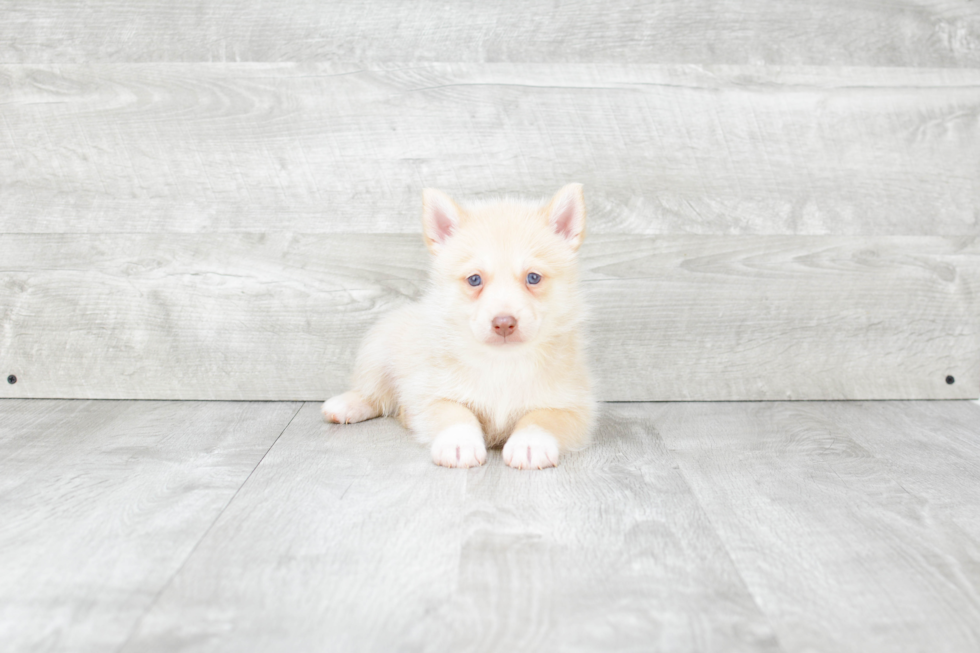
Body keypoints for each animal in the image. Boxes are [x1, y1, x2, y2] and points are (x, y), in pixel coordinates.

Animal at [326, 183, 592, 468]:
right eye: (474, 279)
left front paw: (530, 443)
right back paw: (346, 405)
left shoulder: (575, 406)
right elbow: (456, 413)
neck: (502, 361)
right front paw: (459, 443)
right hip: (378, 352)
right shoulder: (432, 394)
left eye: (533, 277)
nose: (504, 323)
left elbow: (541, 417)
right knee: (374, 393)